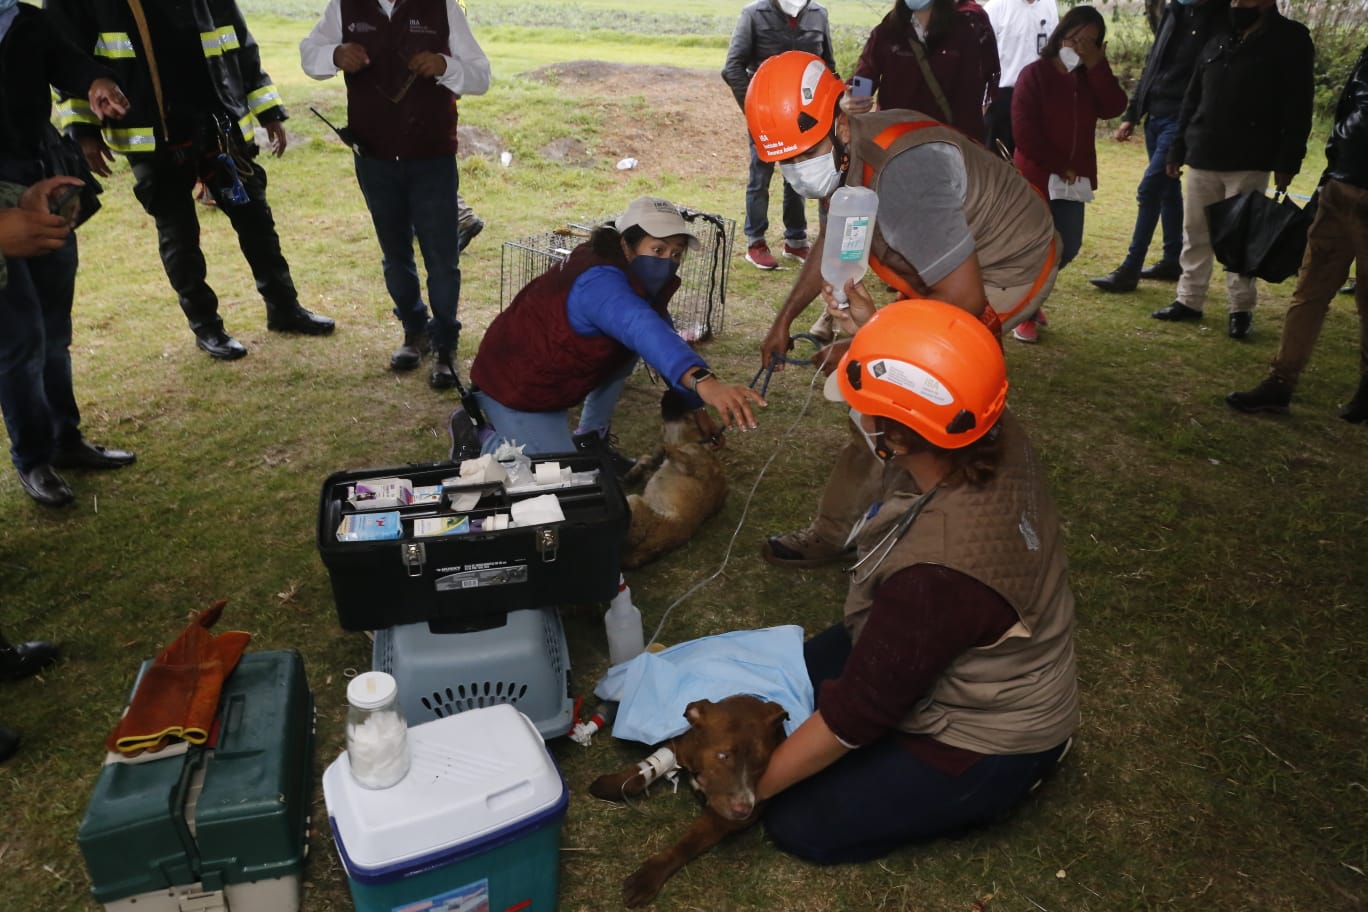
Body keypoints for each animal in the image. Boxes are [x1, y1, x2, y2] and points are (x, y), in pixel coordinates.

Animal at [582, 700, 787, 907]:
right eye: (723, 756)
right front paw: (614, 784)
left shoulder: (722, 819)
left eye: (762, 763)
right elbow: (640, 773)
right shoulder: (680, 746)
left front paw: (649, 876)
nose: (744, 810)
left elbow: (688, 844)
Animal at [621, 388, 727, 571]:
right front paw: (638, 469)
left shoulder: (690, 461)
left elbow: (667, 448)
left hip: (634, 501)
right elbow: (649, 457)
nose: (668, 389)